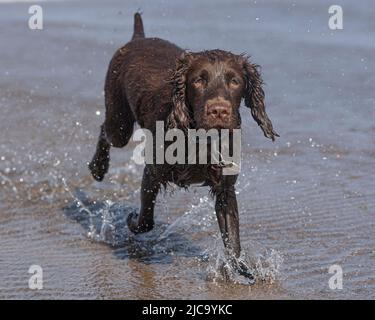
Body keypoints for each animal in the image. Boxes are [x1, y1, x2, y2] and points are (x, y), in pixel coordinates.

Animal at [89, 12, 278, 282]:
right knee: (105, 130)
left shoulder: (225, 189)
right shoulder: (152, 172)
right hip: (120, 121)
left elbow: (233, 241)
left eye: (235, 81)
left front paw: (244, 271)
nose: (218, 111)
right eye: (199, 80)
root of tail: (138, 38)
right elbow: (146, 220)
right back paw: (98, 167)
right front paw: (131, 220)